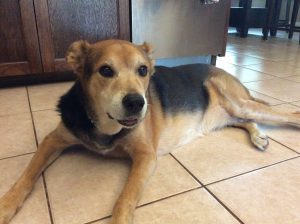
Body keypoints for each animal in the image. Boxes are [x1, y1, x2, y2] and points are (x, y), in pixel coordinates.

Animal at [0, 39, 300, 223]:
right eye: (105, 70)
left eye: (143, 70)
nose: (137, 102)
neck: (105, 125)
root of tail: (223, 71)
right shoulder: (53, 140)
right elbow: (26, 175)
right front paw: (6, 205)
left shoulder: (145, 156)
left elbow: (124, 199)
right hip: (226, 115)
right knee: (244, 120)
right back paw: (258, 135)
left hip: (239, 102)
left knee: (288, 115)